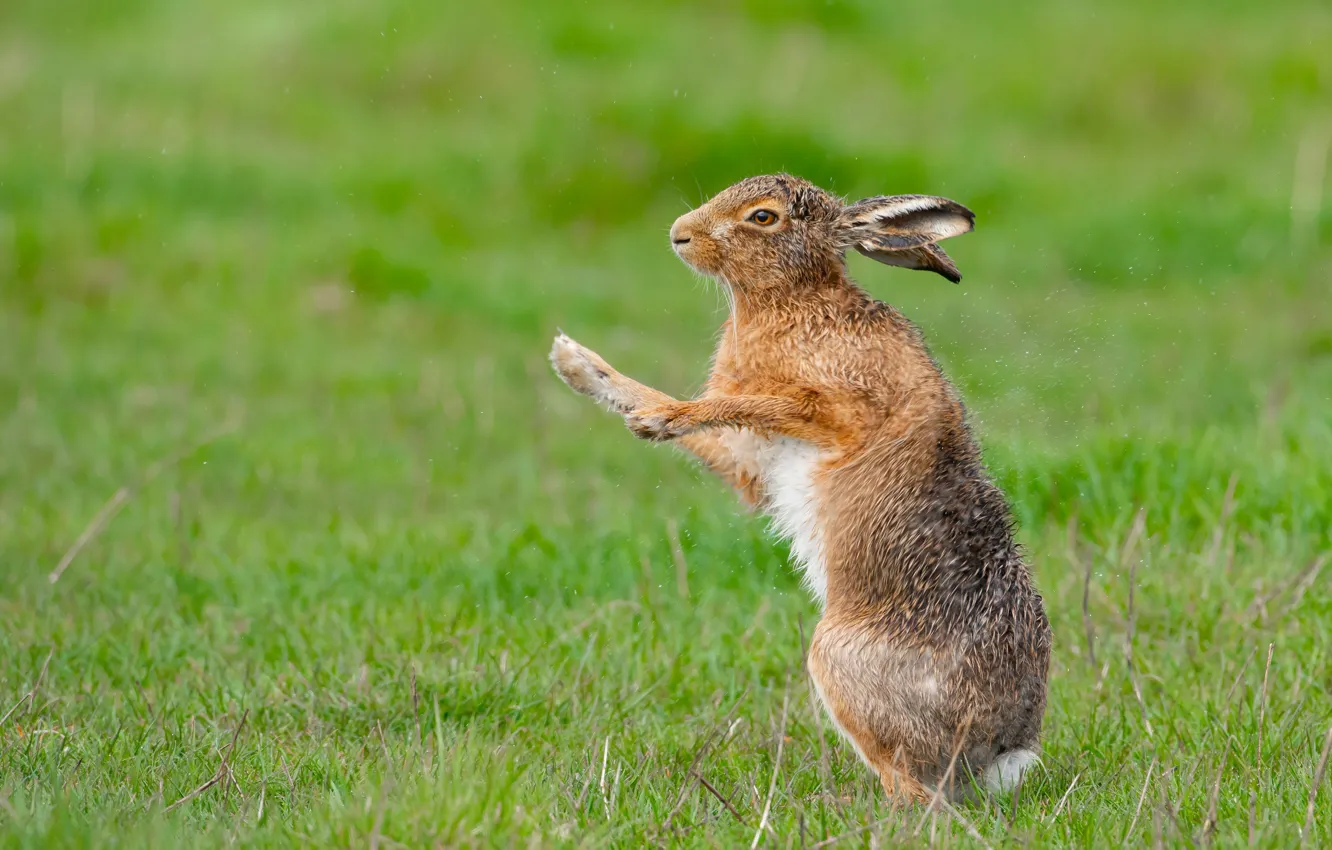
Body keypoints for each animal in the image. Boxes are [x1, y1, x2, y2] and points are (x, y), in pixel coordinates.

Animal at [548, 173, 1051, 804]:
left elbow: (745, 400)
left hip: (836, 661)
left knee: (916, 792)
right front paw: (575, 364)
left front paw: (662, 418)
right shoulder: (752, 458)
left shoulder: (837, 410)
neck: (794, 300)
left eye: (763, 217)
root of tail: (1003, 749)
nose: (679, 235)